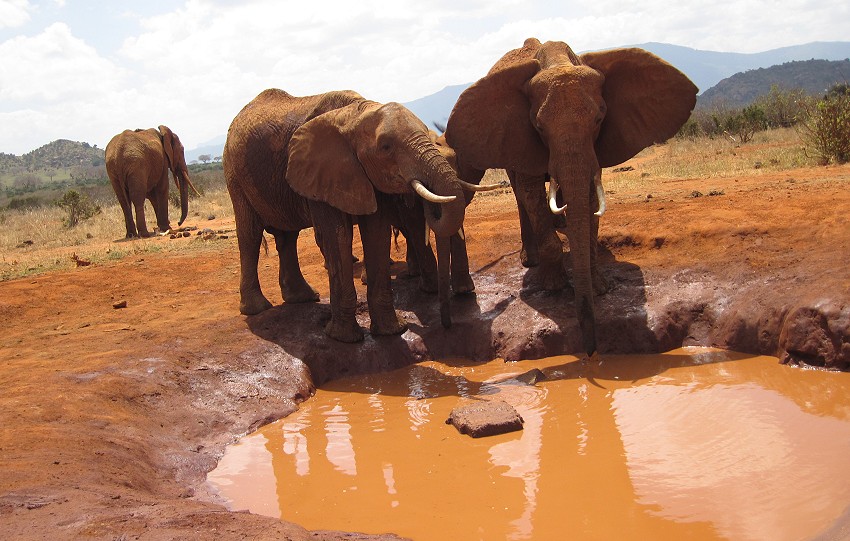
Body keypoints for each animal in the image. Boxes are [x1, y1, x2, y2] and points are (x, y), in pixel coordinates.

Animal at [222, 88, 480, 342]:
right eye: (386, 147)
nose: (447, 326)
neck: (354, 115)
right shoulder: (322, 171)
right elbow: (336, 237)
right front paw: (343, 338)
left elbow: (377, 233)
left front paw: (392, 331)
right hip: (233, 174)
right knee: (250, 235)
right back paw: (257, 308)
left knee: (287, 237)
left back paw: (303, 297)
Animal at [444, 39, 696, 358]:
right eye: (539, 126)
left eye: (599, 118)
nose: (591, 352)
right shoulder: (520, 135)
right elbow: (531, 192)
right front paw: (554, 286)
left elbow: (588, 195)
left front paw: (598, 286)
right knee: (521, 194)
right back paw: (532, 259)